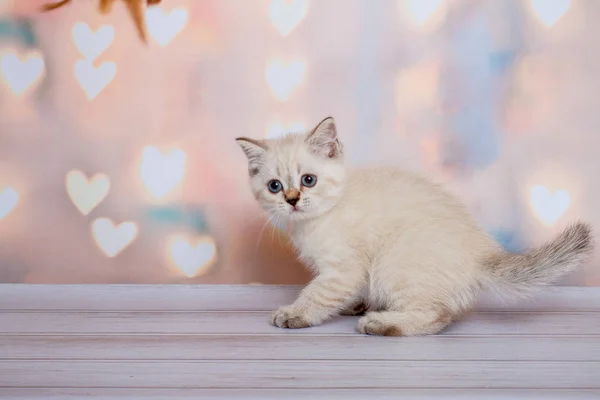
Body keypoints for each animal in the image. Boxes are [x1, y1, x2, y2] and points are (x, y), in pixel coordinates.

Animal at [236, 117, 596, 336]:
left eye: (308, 180)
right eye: (275, 186)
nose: (292, 200)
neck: (315, 221)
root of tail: (482, 255)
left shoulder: (344, 268)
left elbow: (318, 293)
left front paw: (295, 314)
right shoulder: (349, 273)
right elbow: (346, 291)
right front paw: (354, 304)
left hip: (395, 264)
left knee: (437, 316)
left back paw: (381, 323)